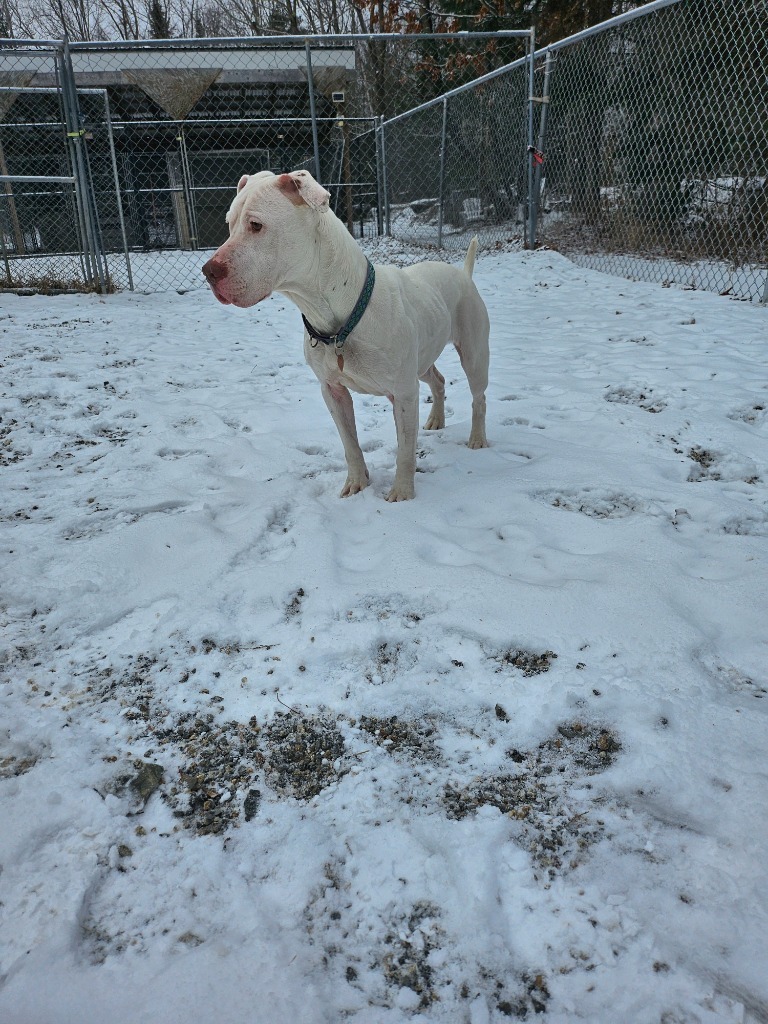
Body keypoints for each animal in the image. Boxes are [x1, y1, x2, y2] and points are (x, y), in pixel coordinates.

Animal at [202, 167, 493, 499]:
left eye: (255, 225)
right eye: (229, 224)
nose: (209, 271)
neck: (342, 316)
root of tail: (463, 274)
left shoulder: (404, 393)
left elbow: (405, 450)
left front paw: (402, 492)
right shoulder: (332, 391)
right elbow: (349, 443)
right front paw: (356, 483)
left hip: (472, 353)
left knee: (479, 397)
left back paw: (477, 438)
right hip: (421, 359)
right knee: (438, 380)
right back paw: (436, 419)